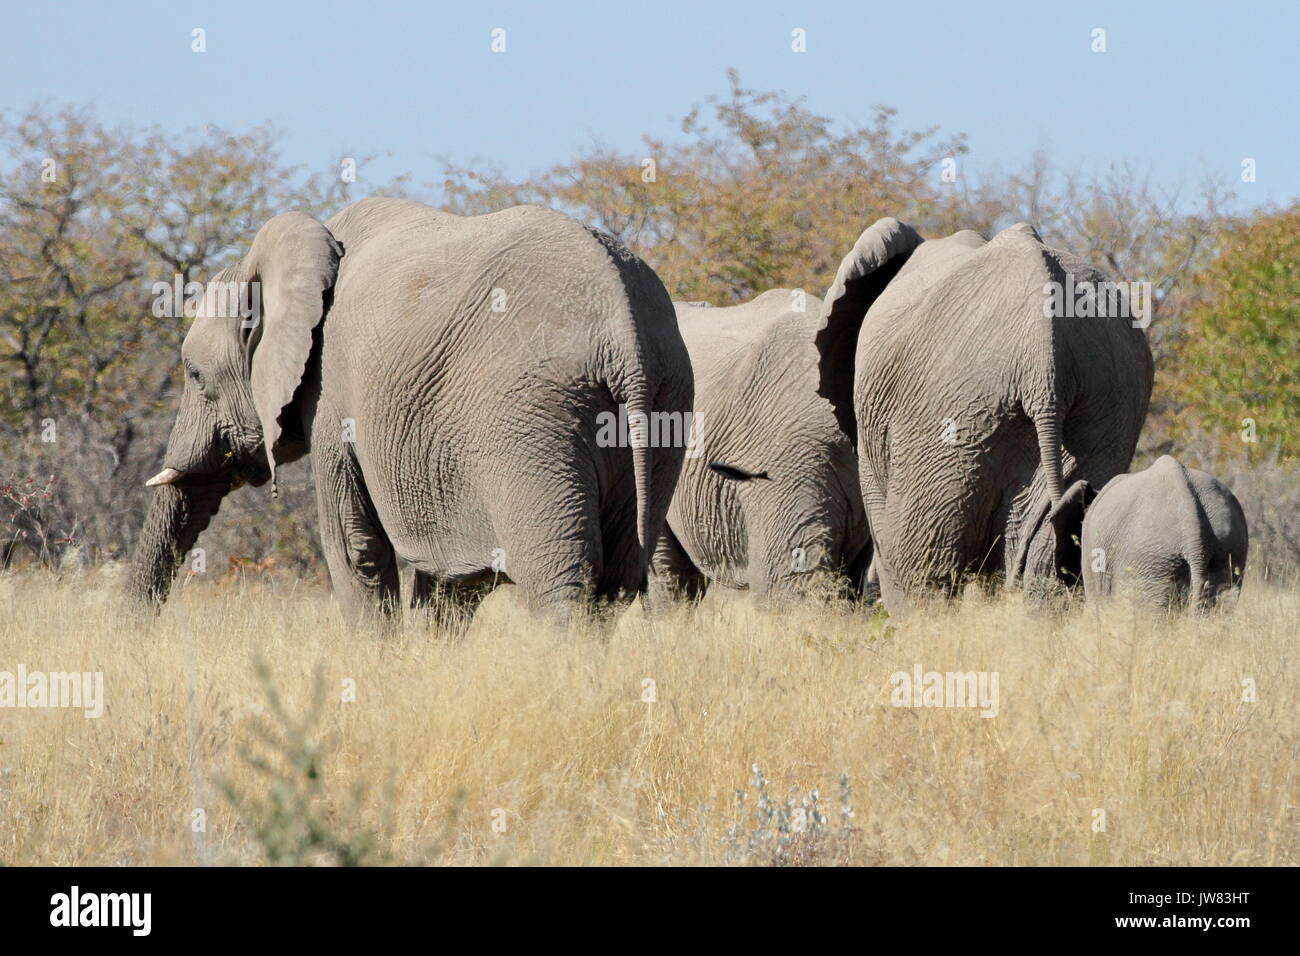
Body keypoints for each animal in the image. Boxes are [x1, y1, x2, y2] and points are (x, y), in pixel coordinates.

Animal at [130, 197, 696, 624]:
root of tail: (625, 332)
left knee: (561, 577)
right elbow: (447, 575)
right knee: (619, 580)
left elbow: (354, 545)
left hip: (532, 417)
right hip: (665, 408)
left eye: (194, 376)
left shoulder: (331, 395)